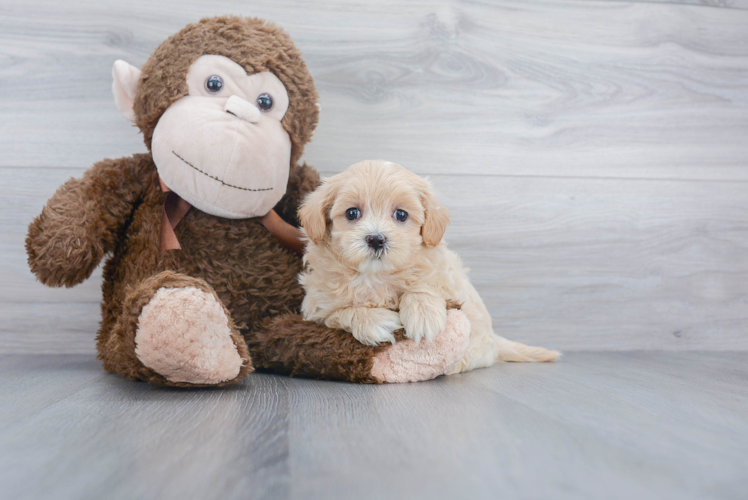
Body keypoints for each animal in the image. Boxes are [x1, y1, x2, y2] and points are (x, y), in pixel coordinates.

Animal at [296, 158, 556, 374]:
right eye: (352, 213)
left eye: (401, 214)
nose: (376, 239)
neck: (374, 276)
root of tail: (494, 342)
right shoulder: (317, 307)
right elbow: (339, 312)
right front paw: (373, 321)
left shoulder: (446, 275)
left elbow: (425, 283)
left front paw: (423, 316)